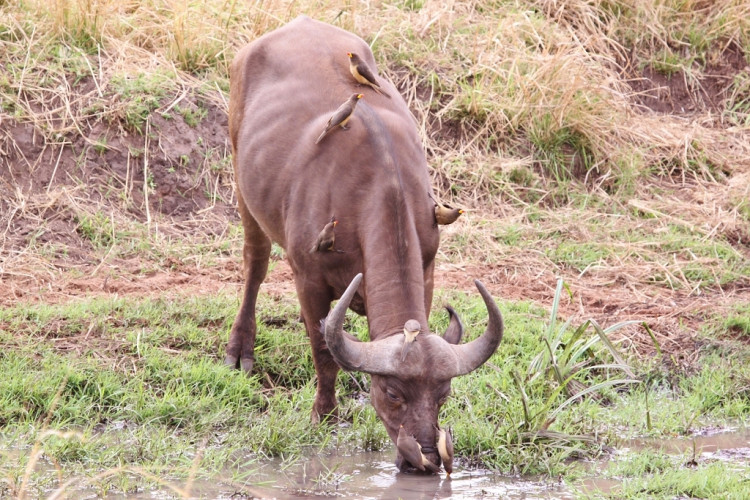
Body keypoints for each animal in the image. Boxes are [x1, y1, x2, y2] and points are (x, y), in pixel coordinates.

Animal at [225, 15, 506, 472]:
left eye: (443, 393)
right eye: (392, 393)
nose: (426, 458)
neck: (375, 188)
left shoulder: (427, 266)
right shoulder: (308, 278)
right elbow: (324, 350)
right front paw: (324, 415)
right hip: (240, 180)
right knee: (256, 262)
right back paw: (239, 349)